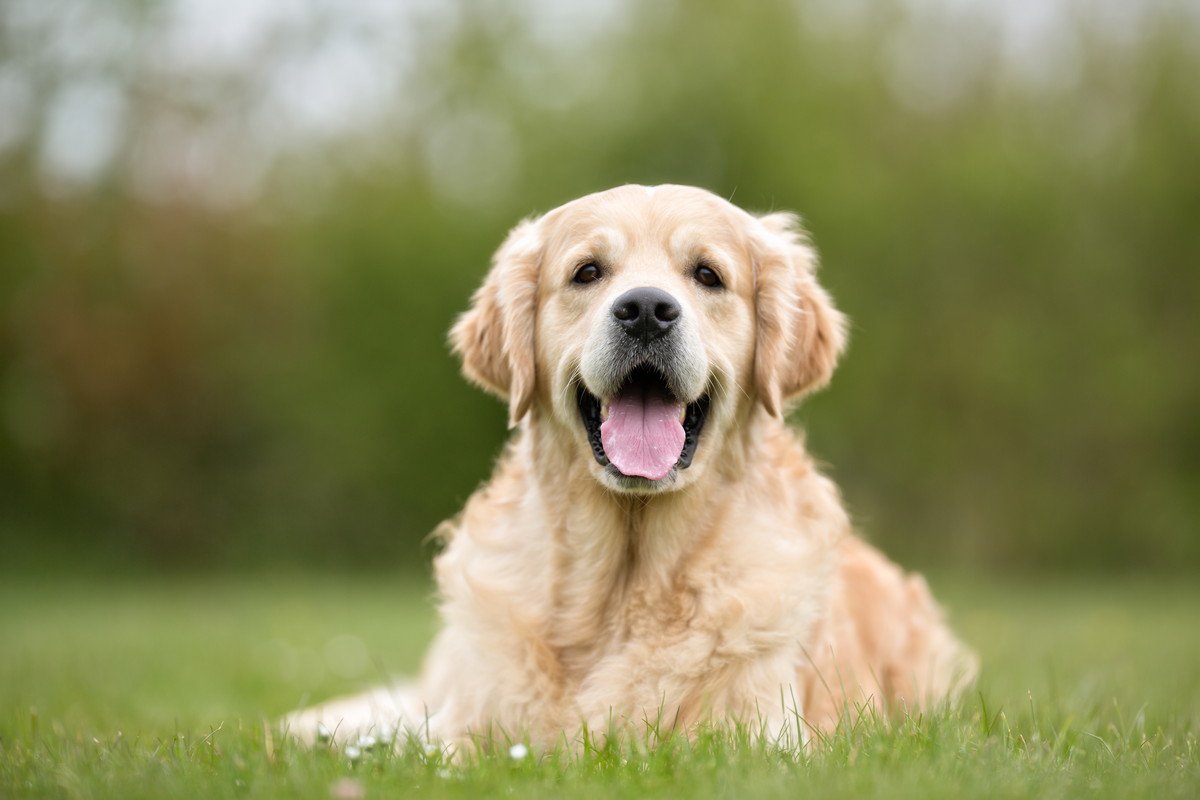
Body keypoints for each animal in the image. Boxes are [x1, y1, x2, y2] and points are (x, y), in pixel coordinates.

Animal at [288, 184, 974, 753]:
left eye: (707, 275)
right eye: (588, 272)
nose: (645, 309)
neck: (624, 585)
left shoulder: (761, 738)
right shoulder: (470, 733)